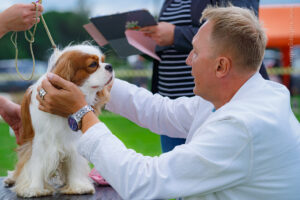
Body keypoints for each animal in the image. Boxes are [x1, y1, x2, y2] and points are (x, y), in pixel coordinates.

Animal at [3, 43, 113, 198]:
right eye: (93, 64)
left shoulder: (72, 141)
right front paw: (34, 188)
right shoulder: (39, 142)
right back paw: (12, 178)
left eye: (103, 60)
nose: (110, 66)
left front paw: (78, 187)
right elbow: (35, 164)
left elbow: (74, 163)